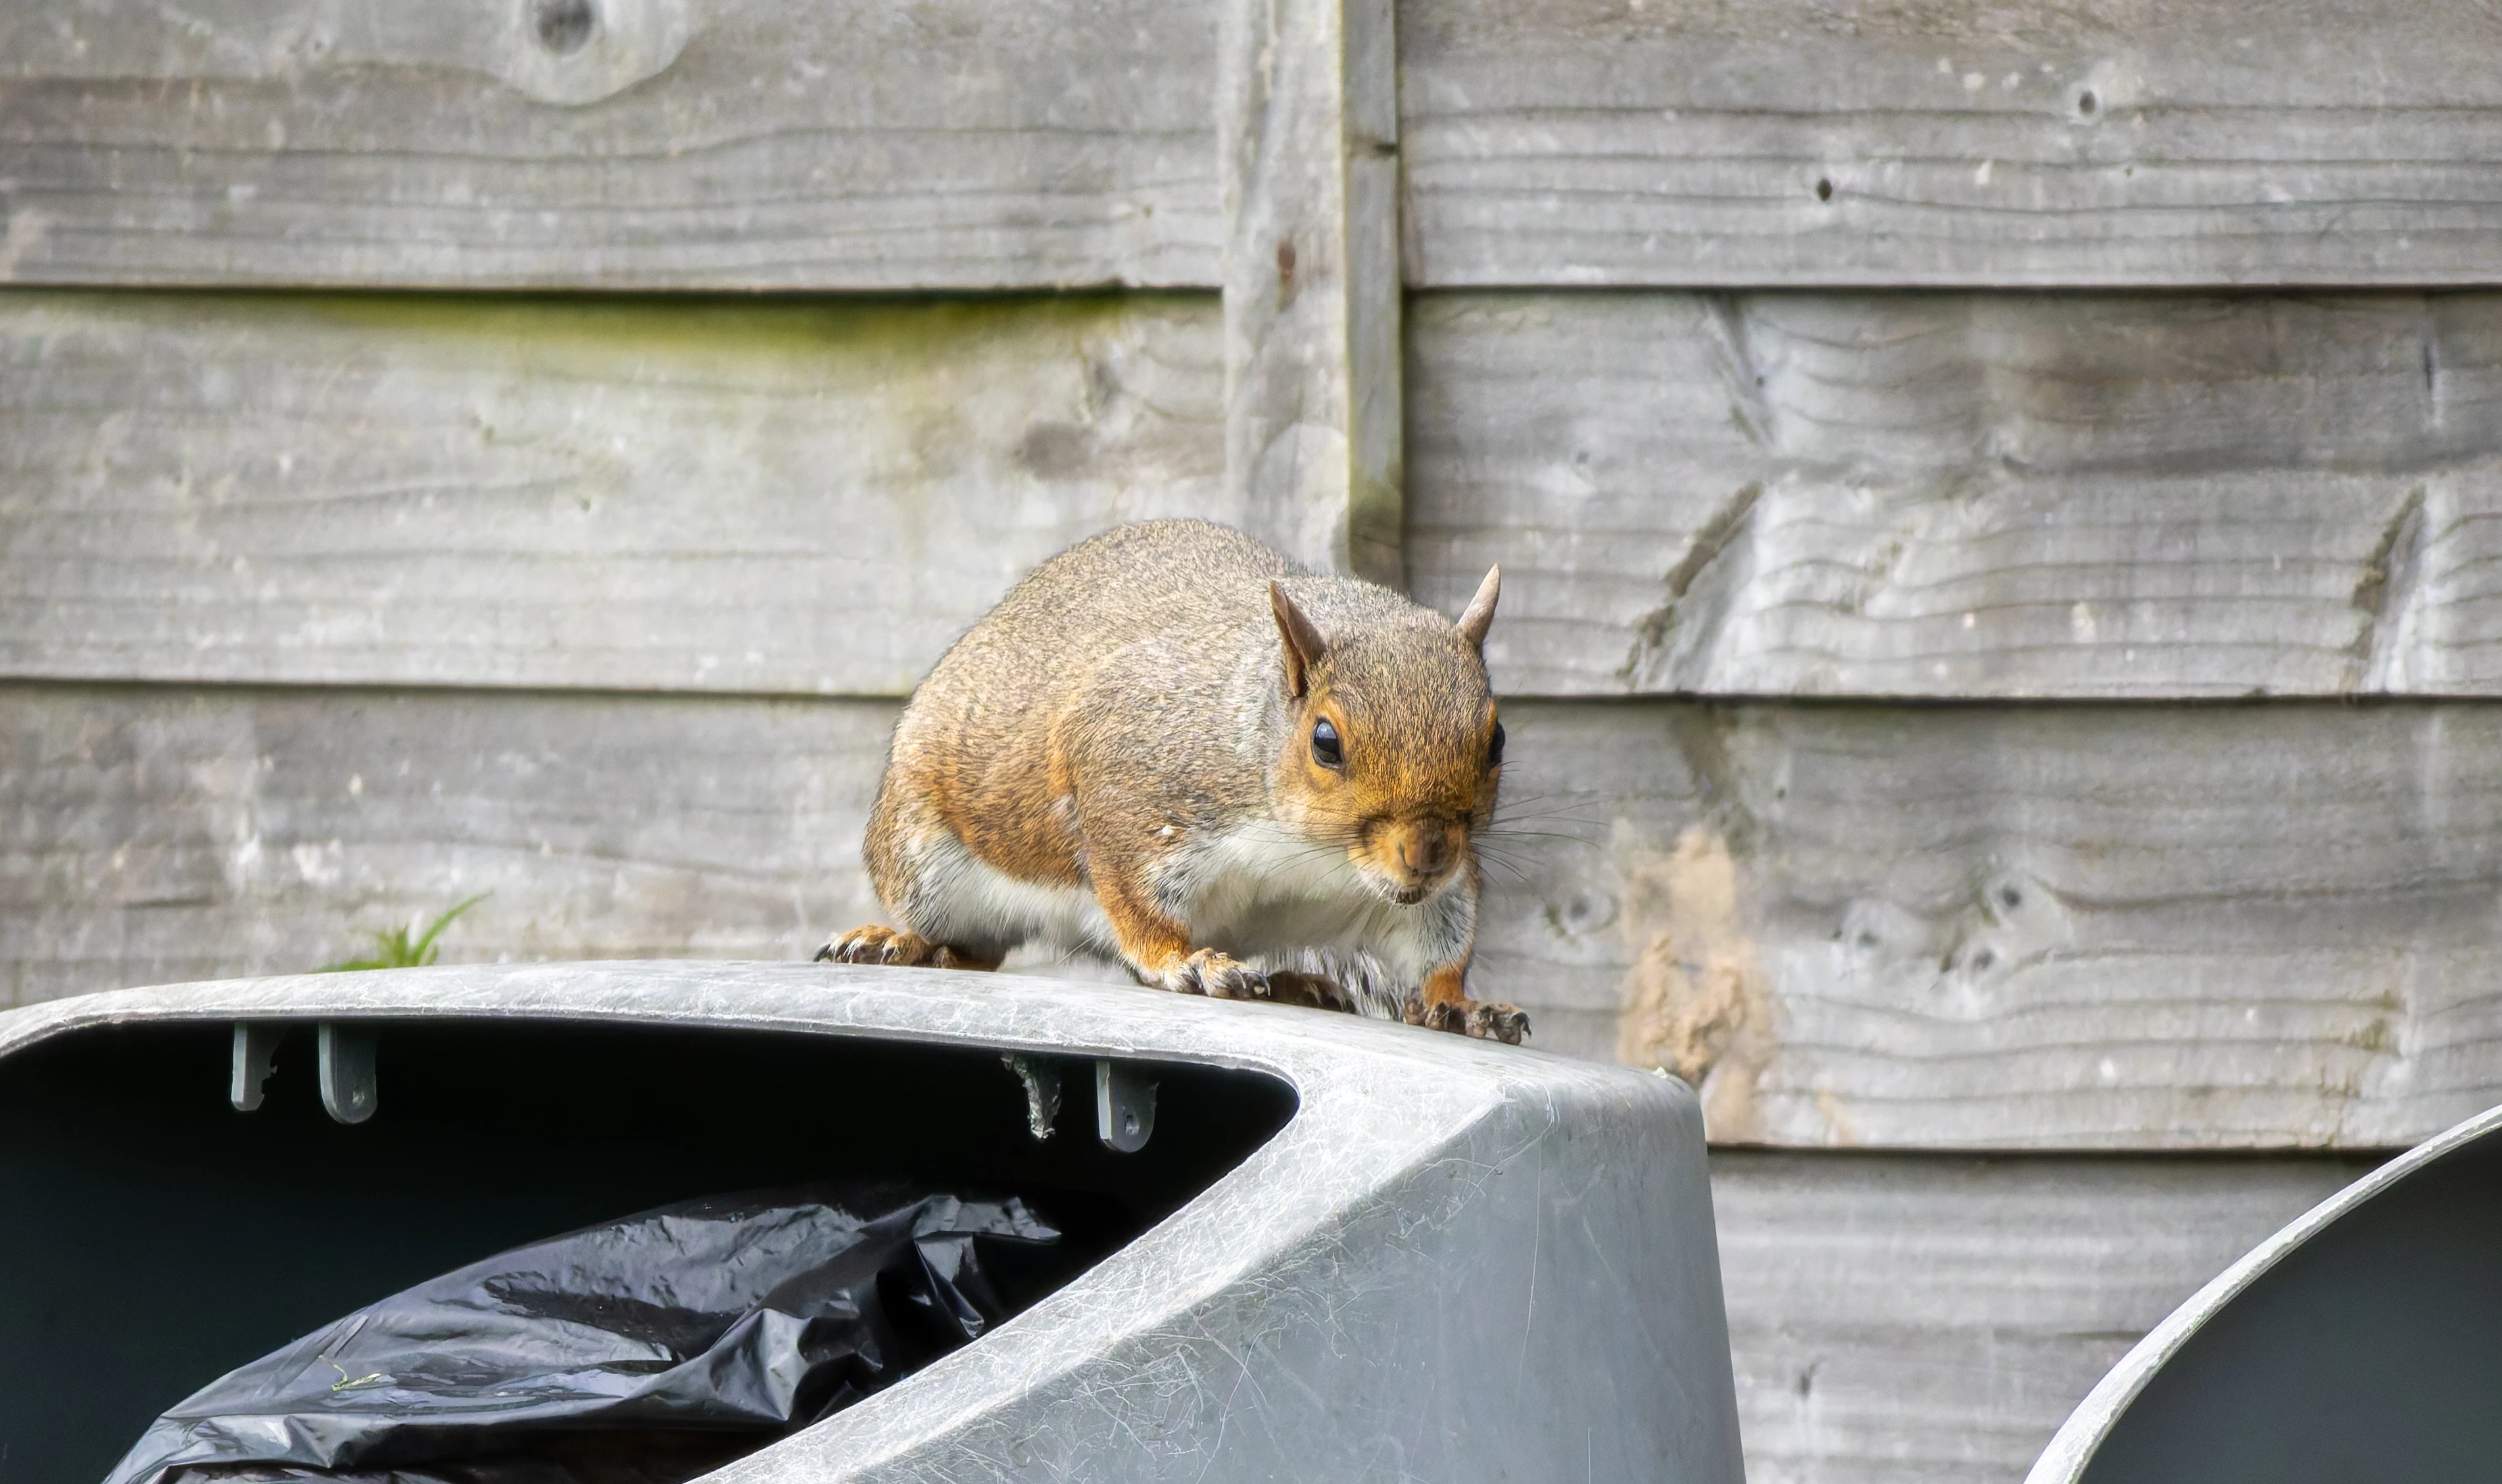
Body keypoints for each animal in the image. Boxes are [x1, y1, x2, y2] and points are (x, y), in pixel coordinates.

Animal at [818, 518, 1528, 1044]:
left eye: (1496, 739)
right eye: (1326, 742)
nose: (1427, 854)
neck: (1314, 855)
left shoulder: (1442, 891)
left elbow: (1439, 948)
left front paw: (1462, 1004)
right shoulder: (1131, 794)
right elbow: (1138, 909)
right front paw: (1183, 961)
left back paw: (1294, 983)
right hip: (921, 854)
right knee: (968, 943)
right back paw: (901, 941)